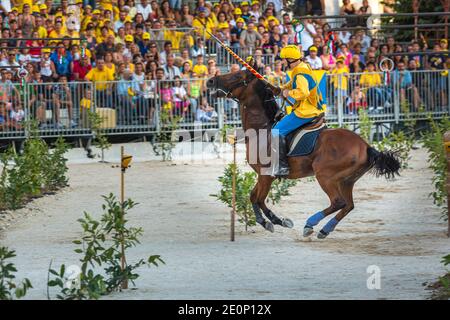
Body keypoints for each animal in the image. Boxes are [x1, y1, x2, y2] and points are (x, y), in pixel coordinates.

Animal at [207, 65, 400, 239]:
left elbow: (257, 198)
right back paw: (324, 230)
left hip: (325, 176)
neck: (262, 128)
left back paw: (310, 224)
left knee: (338, 202)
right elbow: (253, 197)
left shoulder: (266, 175)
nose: (210, 81)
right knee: (348, 205)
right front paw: (273, 221)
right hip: (347, 181)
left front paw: (273, 221)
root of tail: (366, 146)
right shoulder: (264, 176)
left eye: (236, 75)